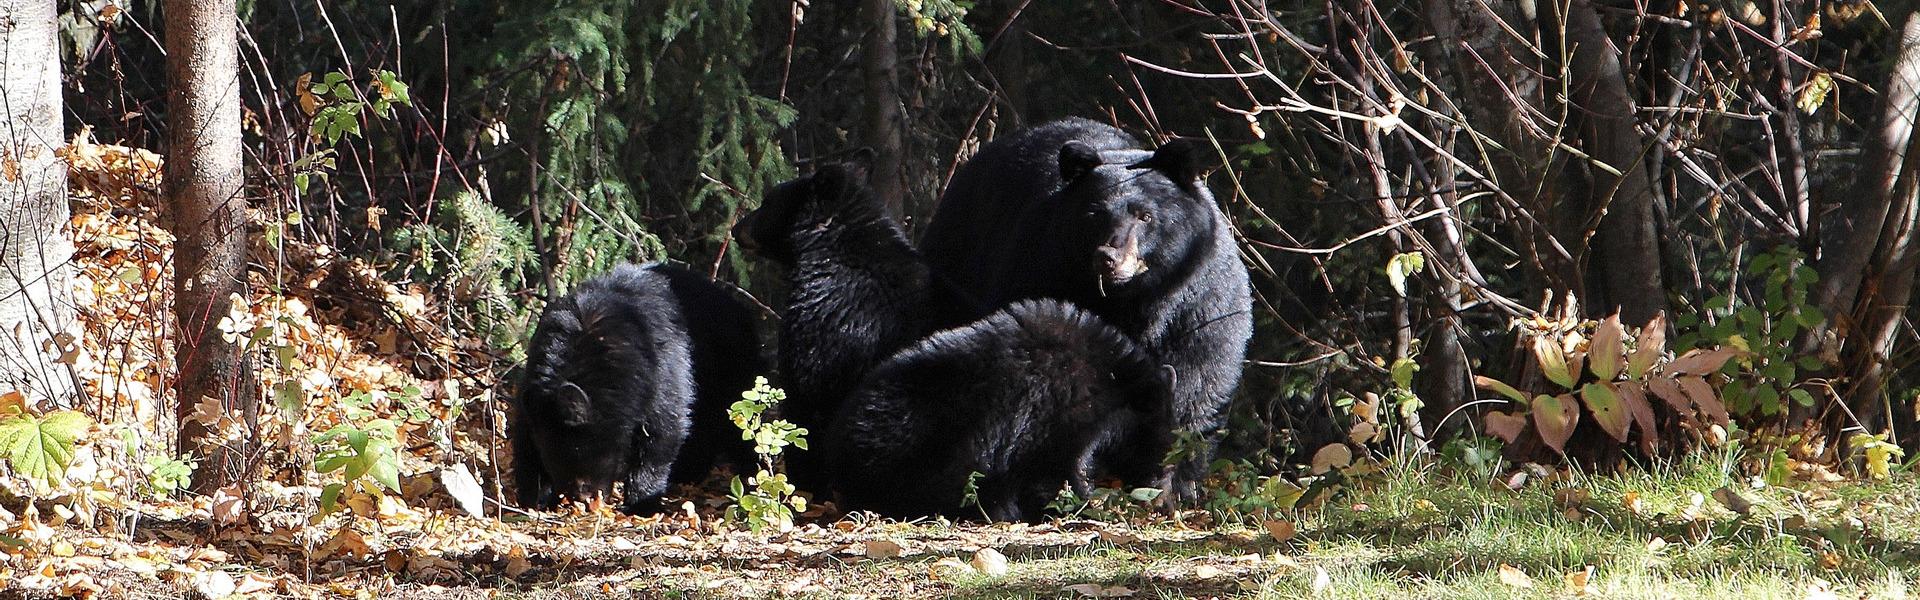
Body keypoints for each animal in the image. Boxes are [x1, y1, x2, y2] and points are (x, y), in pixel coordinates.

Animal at [512, 262, 762, 514]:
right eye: (554, 460)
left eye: (577, 454)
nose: (581, 498)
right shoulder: (532, 398)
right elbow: (524, 440)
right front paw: (533, 498)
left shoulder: (661, 374)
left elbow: (662, 432)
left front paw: (642, 504)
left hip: (731, 374)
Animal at [829, 299, 1173, 522]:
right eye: (1159, 442)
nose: (1159, 490)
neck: (1110, 379)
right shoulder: (1057, 418)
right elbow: (1056, 471)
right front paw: (1082, 506)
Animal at [917, 117, 1255, 500]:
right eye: (1095, 213)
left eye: (1145, 215)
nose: (1108, 257)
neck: (1135, 302)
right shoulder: (1042, 273)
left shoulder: (1199, 308)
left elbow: (1198, 388)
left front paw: (1171, 486)